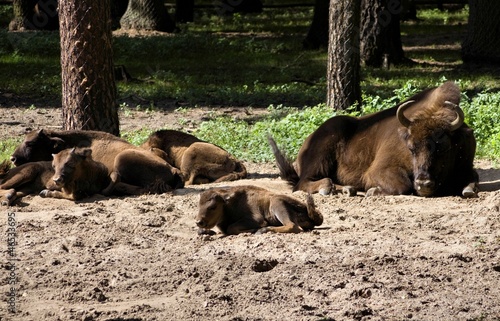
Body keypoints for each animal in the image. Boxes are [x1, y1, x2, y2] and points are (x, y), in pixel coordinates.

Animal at [195, 184, 324, 234]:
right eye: (199, 205)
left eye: (213, 206)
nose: (199, 222)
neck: (228, 203)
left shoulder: (256, 219)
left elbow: (232, 228)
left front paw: (255, 230)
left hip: (277, 204)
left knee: (292, 226)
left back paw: (264, 230)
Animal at [268, 81, 478, 196]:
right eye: (411, 148)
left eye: (444, 147)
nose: (424, 183)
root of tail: (307, 141)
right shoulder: (379, 170)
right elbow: (403, 186)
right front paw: (373, 191)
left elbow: (473, 179)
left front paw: (467, 189)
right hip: (320, 157)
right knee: (302, 184)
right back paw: (329, 188)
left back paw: (348, 189)